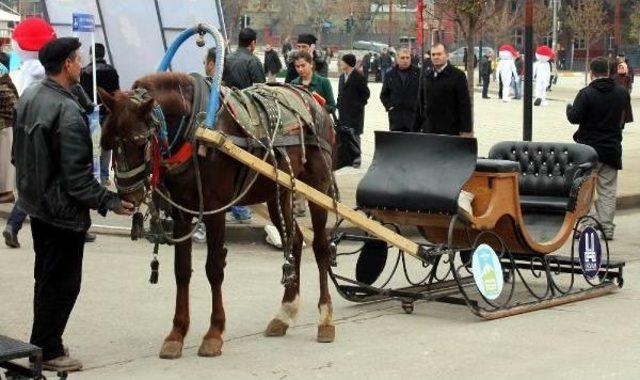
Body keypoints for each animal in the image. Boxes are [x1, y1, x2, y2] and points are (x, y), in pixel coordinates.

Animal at [98, 72, 338, 360]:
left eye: (140, 141)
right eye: (109, 143)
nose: (128, 196)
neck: (196, 130)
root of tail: (313, 99)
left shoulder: (215, 209)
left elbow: (213, 269)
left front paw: (214, 333)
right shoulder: (181, 212)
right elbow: (182, 271)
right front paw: (177, 334)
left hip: (317, 185)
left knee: (321, 247)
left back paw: (325, 318)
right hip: (277, 192)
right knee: (294, 242)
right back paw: (285, 312)